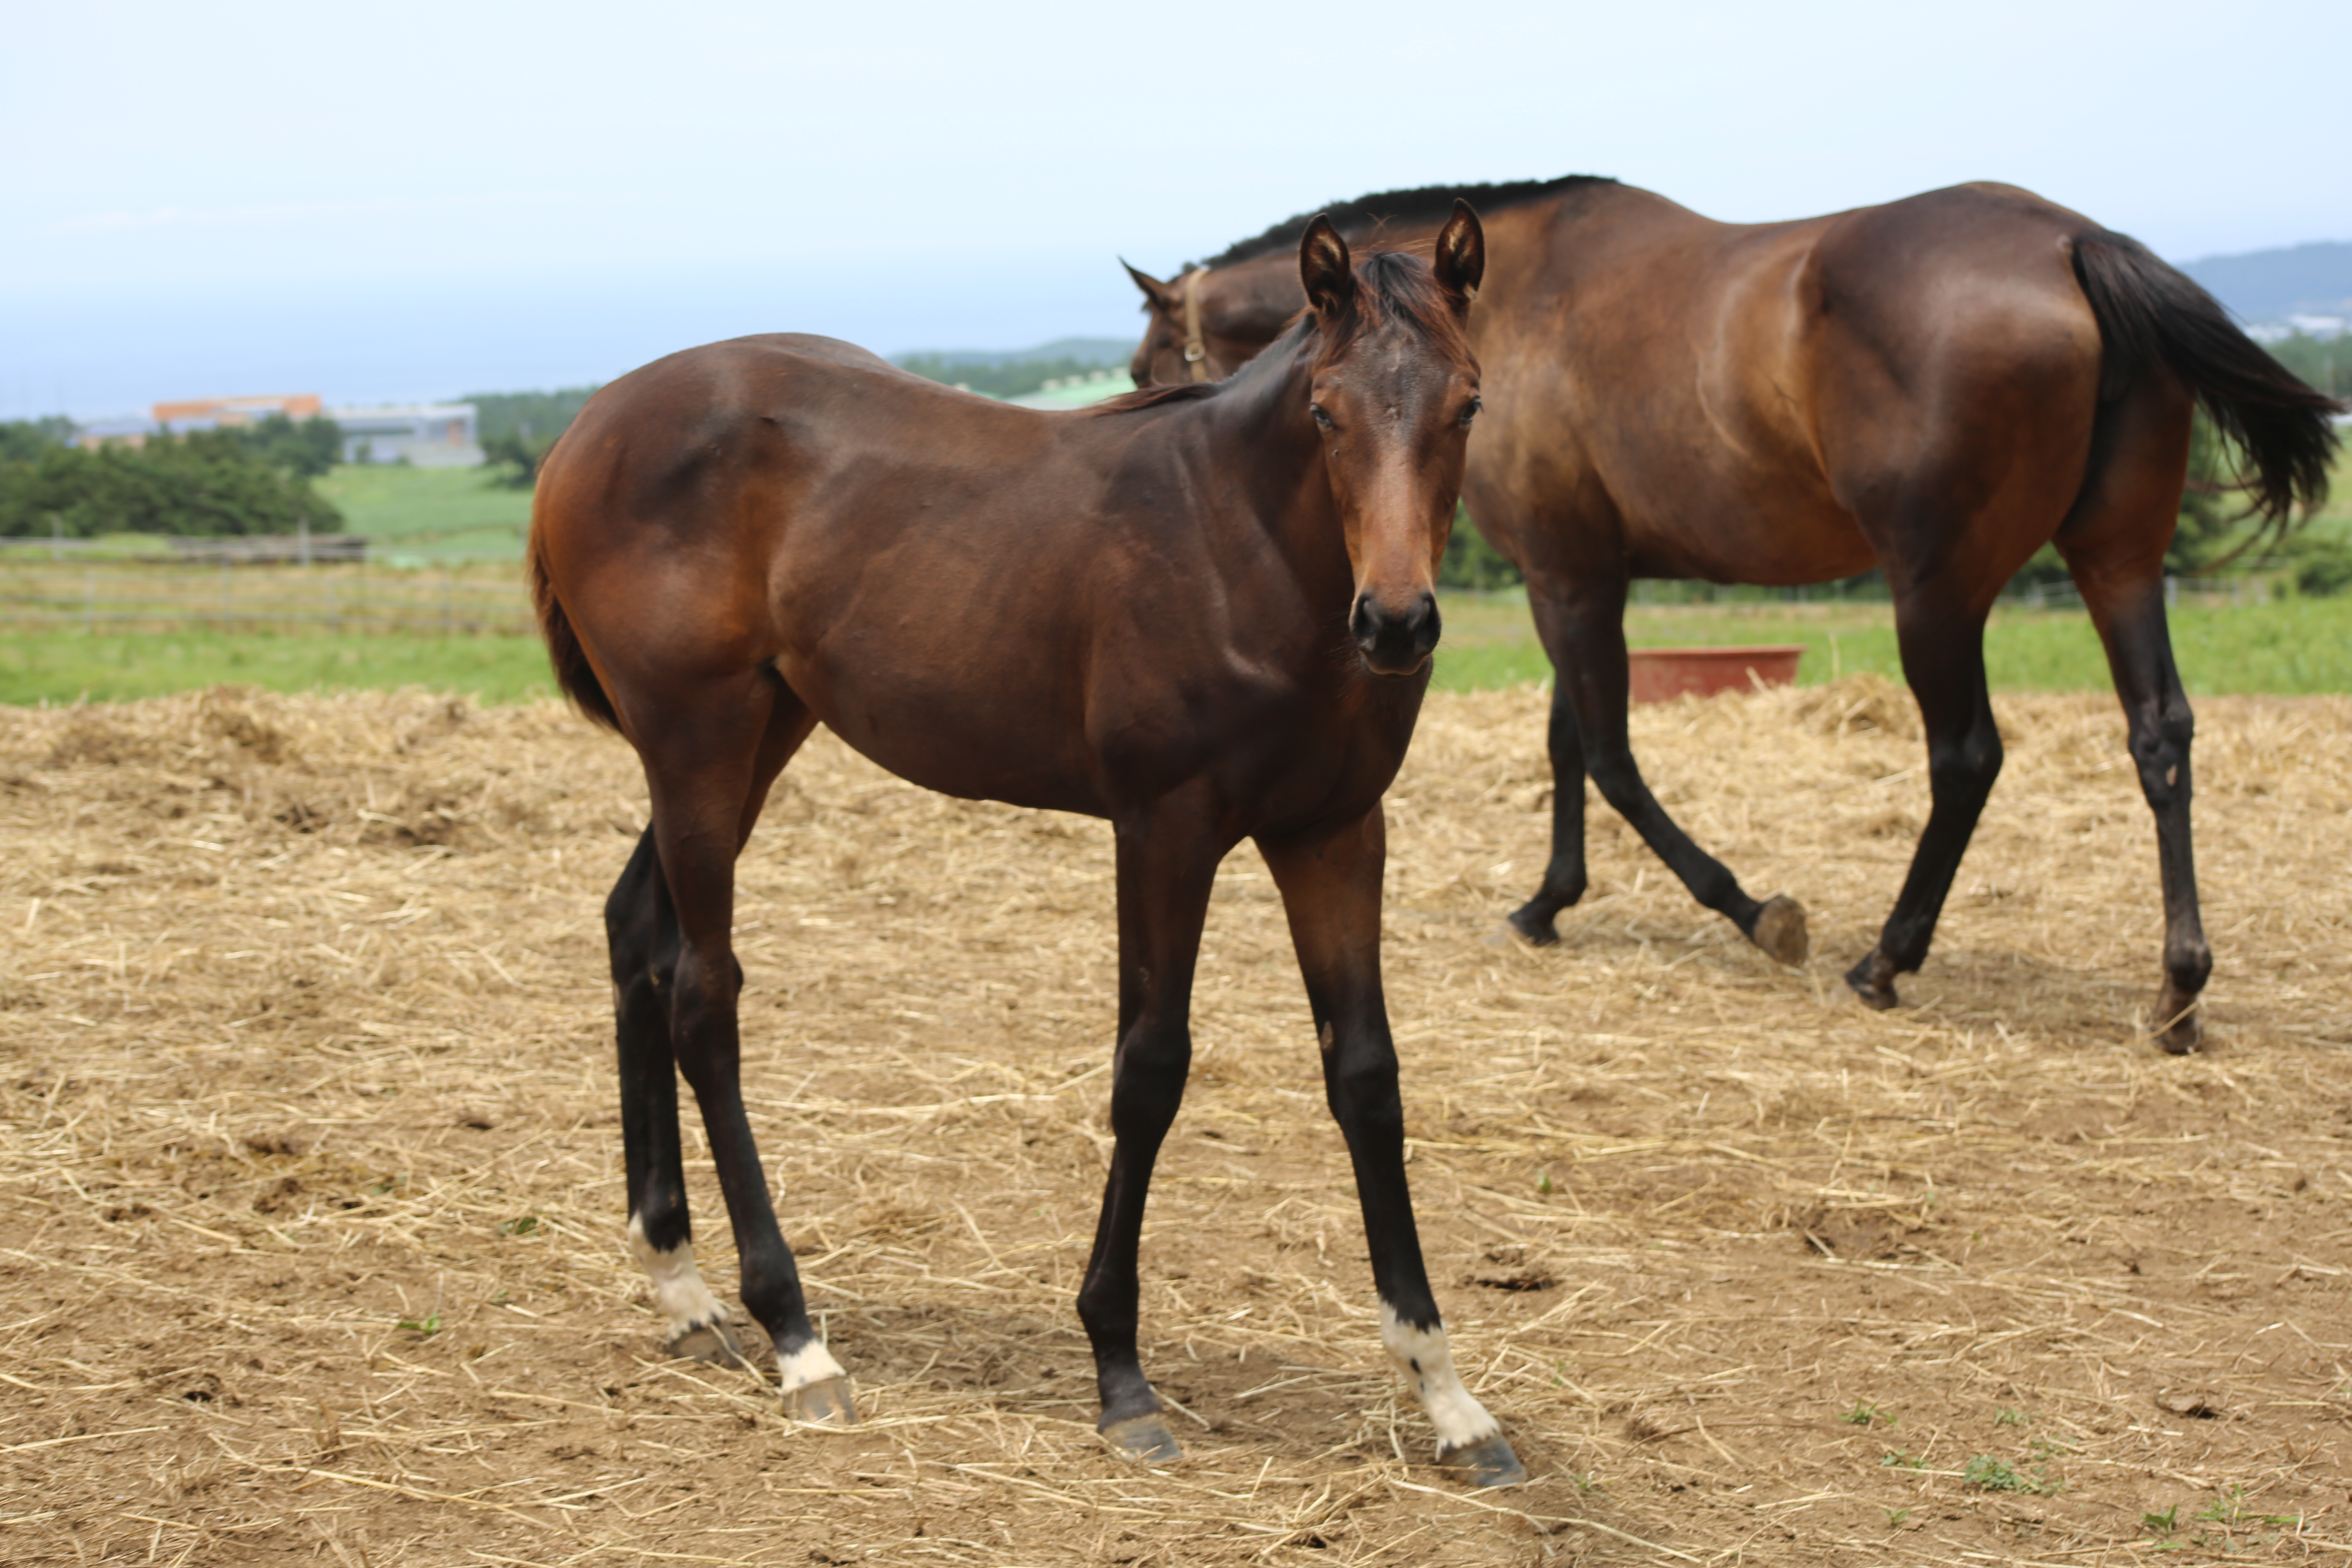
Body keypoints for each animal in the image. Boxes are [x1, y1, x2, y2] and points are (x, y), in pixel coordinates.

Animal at [527, 205, 1533, 1486]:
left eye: (1468, 403)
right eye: (1324, 410)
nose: (1396, 624)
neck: (1240, 545)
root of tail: (588, 427)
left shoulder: (1336, 834)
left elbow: (1366, 1077)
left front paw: (1447, 1395)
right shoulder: (1165, 829)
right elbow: (1149, 1070)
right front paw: (1119, 1373)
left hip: (757, 735)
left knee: (637, 938)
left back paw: (679, 1283)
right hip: (697, 741)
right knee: (704, 994)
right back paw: (796, 1335)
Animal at [1129, 175, 2342, 1053]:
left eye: (1148, 359)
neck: (1506, 301)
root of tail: (2071, 245)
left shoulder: (1567, 577)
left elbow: (1607, 752)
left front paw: (1751, 910)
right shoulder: (1584, 576)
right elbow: (1569, 741)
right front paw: (1548, 903)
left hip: (1935, 590)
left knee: (1966, 756)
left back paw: (1886, 960)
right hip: (2118, 560)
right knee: (2160, 734)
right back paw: (2178, 992)